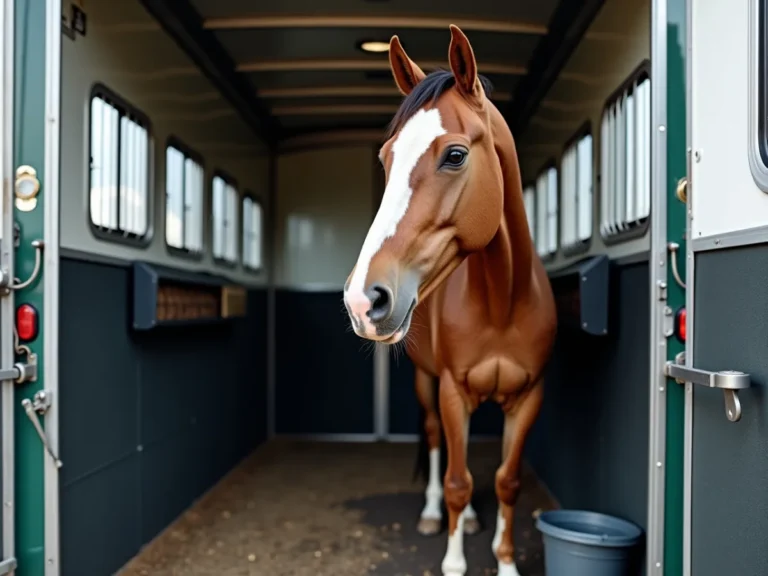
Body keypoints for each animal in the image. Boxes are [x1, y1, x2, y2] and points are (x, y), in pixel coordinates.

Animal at [342, 25, 557, 576]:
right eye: (386, 158)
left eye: (455, 155)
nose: (362, 300)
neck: (503, 301)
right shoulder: (453, 391)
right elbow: (459, 481)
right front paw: (454, 558)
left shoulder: (529, 398)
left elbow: (507, 481)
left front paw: (505, 561)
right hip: (428, 385)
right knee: (439, 443)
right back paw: (433, 513)